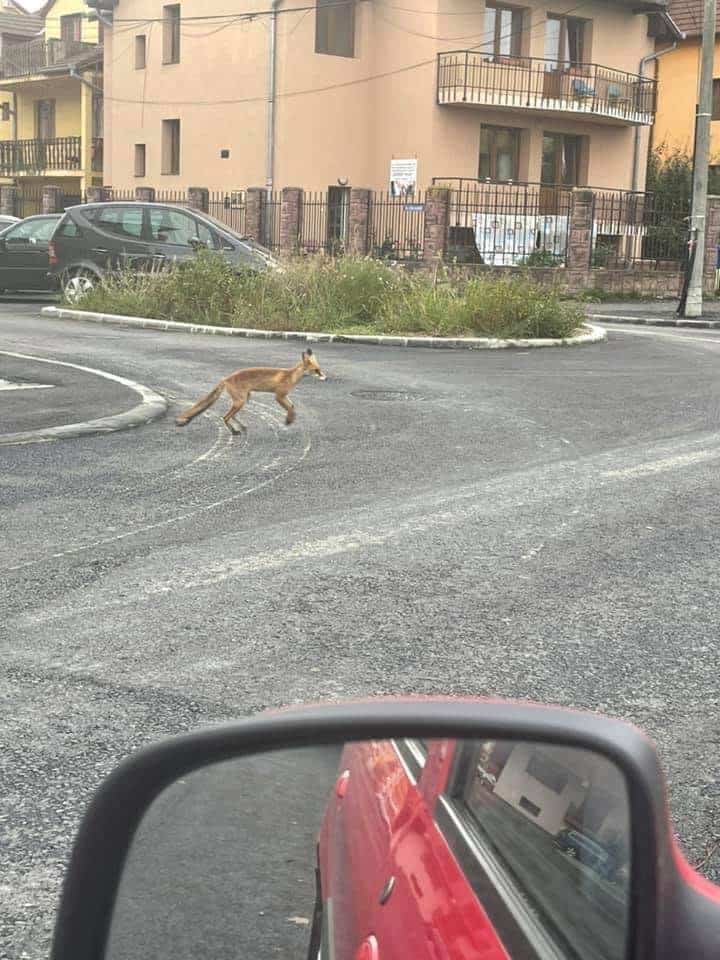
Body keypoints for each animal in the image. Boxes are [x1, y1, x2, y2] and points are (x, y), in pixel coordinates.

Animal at [175, 346, 326, 434]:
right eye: (316, 370)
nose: (325, 377)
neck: (291, 376)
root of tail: (225, 378)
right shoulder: (279, 396)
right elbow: (290, 408)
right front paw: (288, 420)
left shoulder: (285, 396)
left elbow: (293, 407)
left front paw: (291, 419)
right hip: (240, 401)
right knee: (225, 417)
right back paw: (234, 432)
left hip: (244, 399)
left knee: (232, 416)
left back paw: (241, 427)